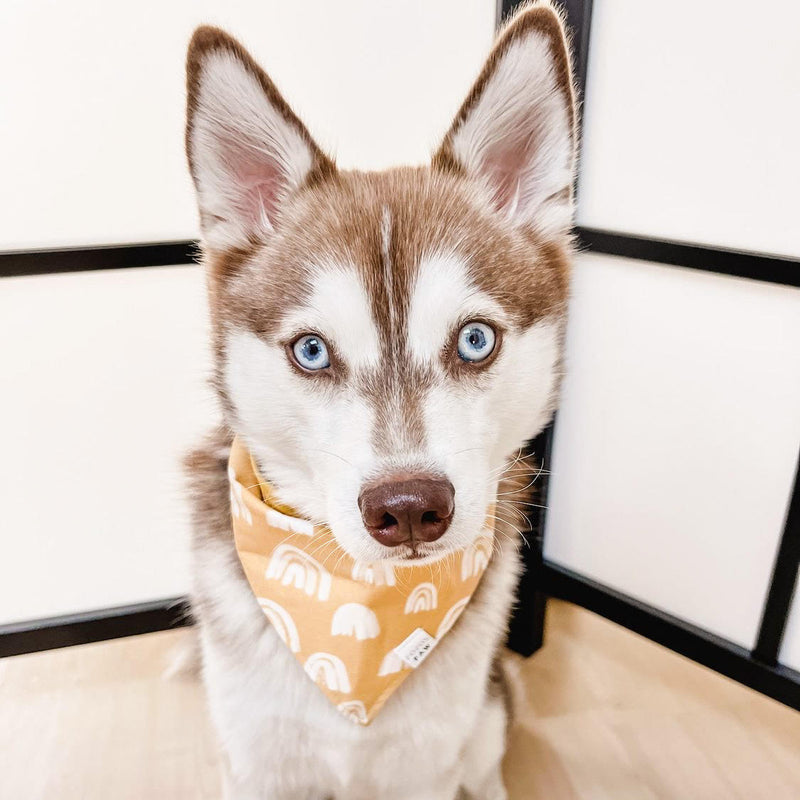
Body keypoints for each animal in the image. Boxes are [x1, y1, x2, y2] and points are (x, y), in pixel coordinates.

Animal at [186, 3, 576, 796]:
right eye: (311, 350)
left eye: (475, 340)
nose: (409, 508)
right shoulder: (258, 761)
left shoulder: (424, 764)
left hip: (485, 712)